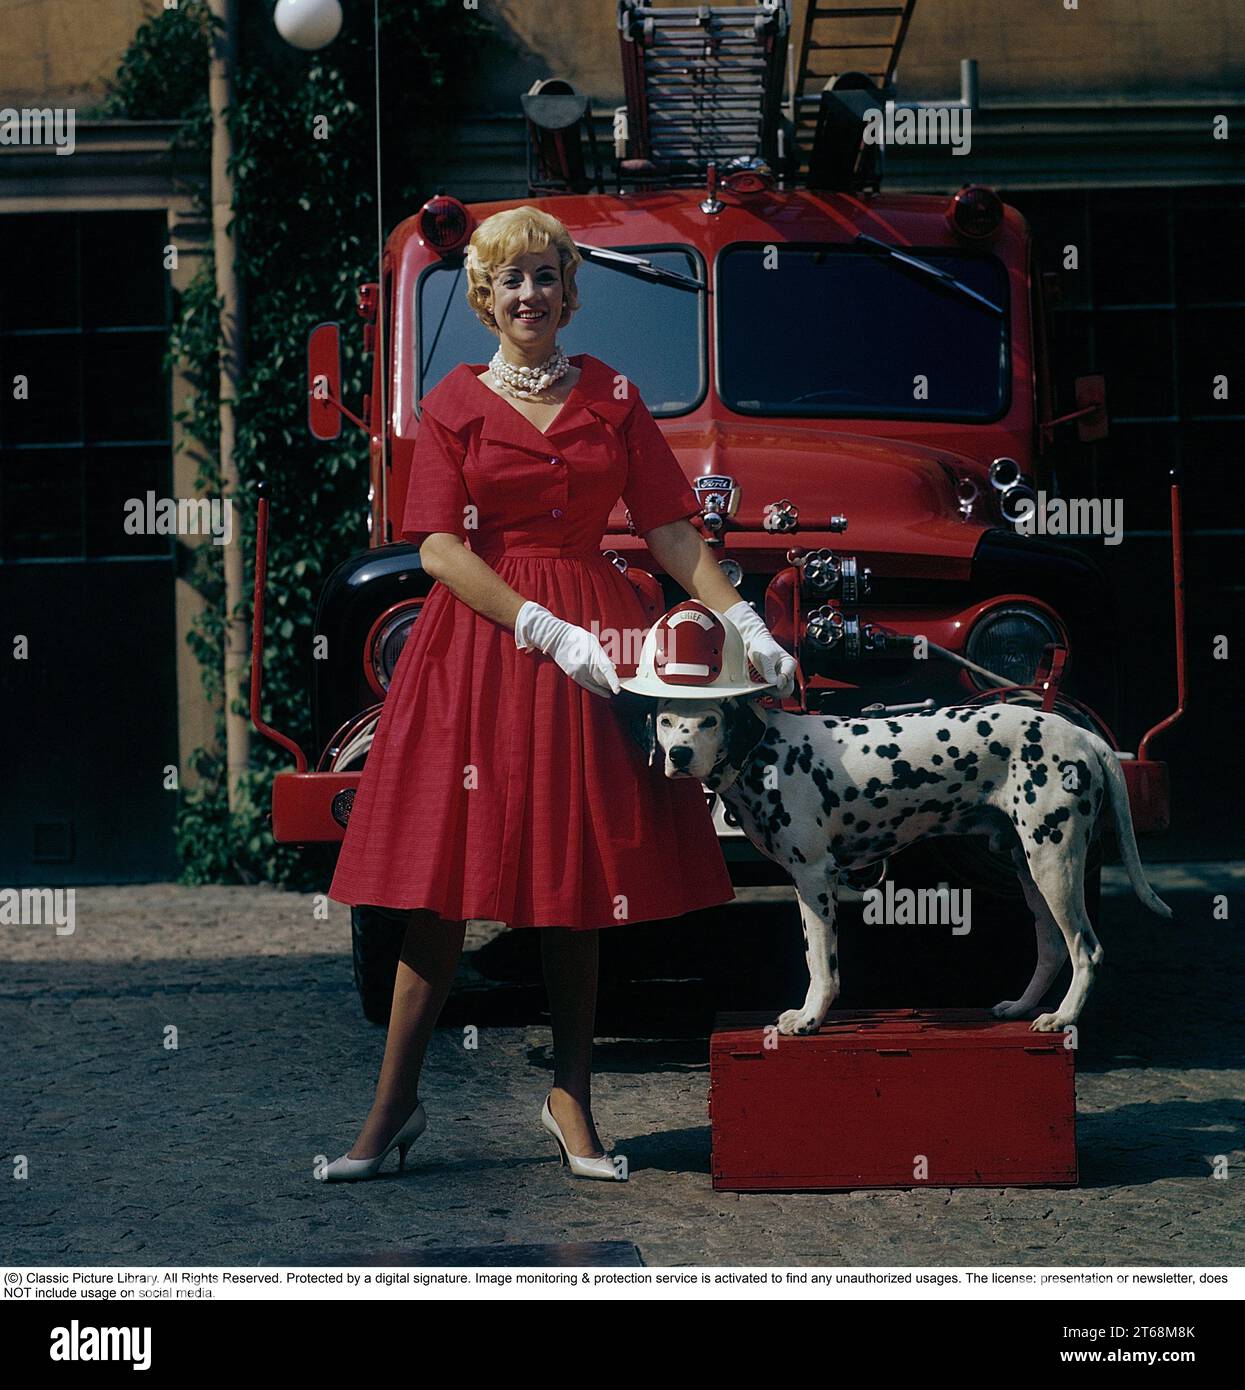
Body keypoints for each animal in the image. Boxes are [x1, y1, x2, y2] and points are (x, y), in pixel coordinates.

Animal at [628, 695, 1172, 1034]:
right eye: (667, 722)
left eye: (710, 721)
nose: (679, 754)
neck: (769, 753)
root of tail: (1082, 735)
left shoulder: (815, 879)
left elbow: (821, 965)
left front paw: (809, 1018)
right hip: (1031, 870)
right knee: (1054, 948)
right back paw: (1023, 1007)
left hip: (1054, 863)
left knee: (1086, 949)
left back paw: (1064, 1018)